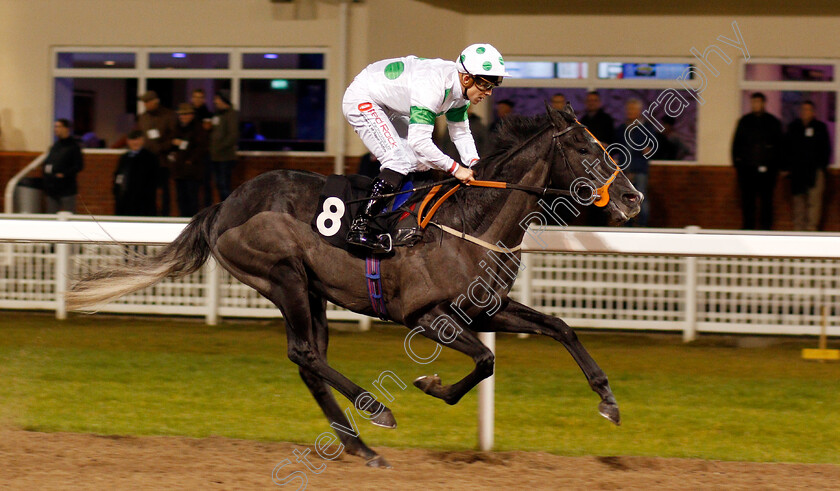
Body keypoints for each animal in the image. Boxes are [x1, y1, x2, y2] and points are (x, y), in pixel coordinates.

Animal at [67, 102, 644, 468]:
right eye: (588, 150)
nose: (633, 199)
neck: (472, 220)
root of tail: (224, 205)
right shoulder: (425, 316)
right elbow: (484, 360)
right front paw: (429, 384)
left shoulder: (483, 309)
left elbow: (559, 327)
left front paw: (608, 401)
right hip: (283, 276)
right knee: (304, 352)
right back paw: (375, 410)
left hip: (311, 291)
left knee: (309, 361)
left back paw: (359, 446)